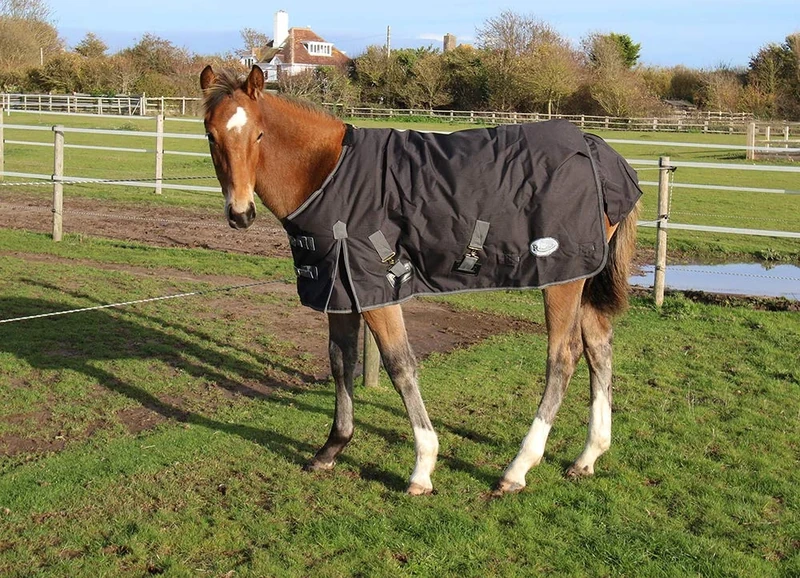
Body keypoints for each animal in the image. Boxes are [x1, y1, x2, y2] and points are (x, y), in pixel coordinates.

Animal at [200, 65, 641, 496]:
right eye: (211, 134)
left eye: (258, 134)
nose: (240, 214)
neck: (327, 173)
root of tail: (596, 148)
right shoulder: (340, 288)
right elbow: (341, 361)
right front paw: (332, 448)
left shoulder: (377, 288)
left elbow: (399, 366)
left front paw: (422, 468)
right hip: (584, 277)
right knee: (599, 348)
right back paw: (587, 456)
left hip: (561, 280)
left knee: (563, 358)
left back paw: (517, 469)